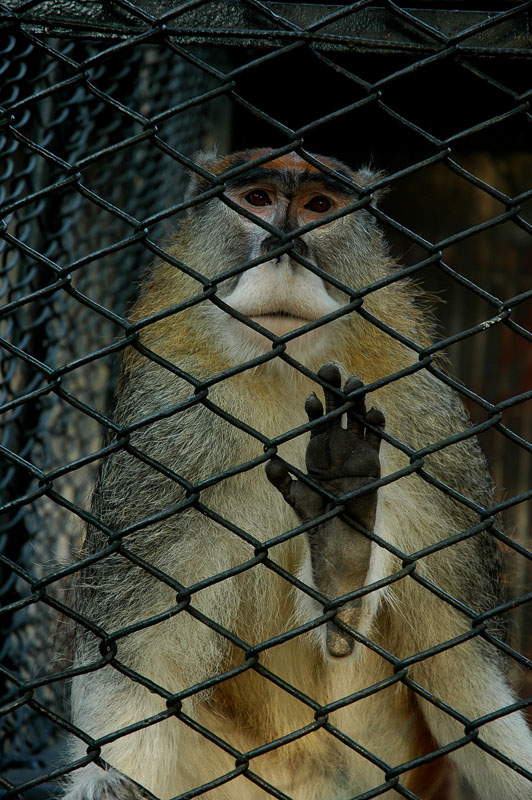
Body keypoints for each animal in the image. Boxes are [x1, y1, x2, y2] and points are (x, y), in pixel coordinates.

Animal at [63, 150, 532, 800]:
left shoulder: (430, 424)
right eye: (257, 199)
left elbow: (469, 687)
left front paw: (341, 542)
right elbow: (129, 671)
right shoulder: (163, 433)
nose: (285, 245)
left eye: (318, 207)